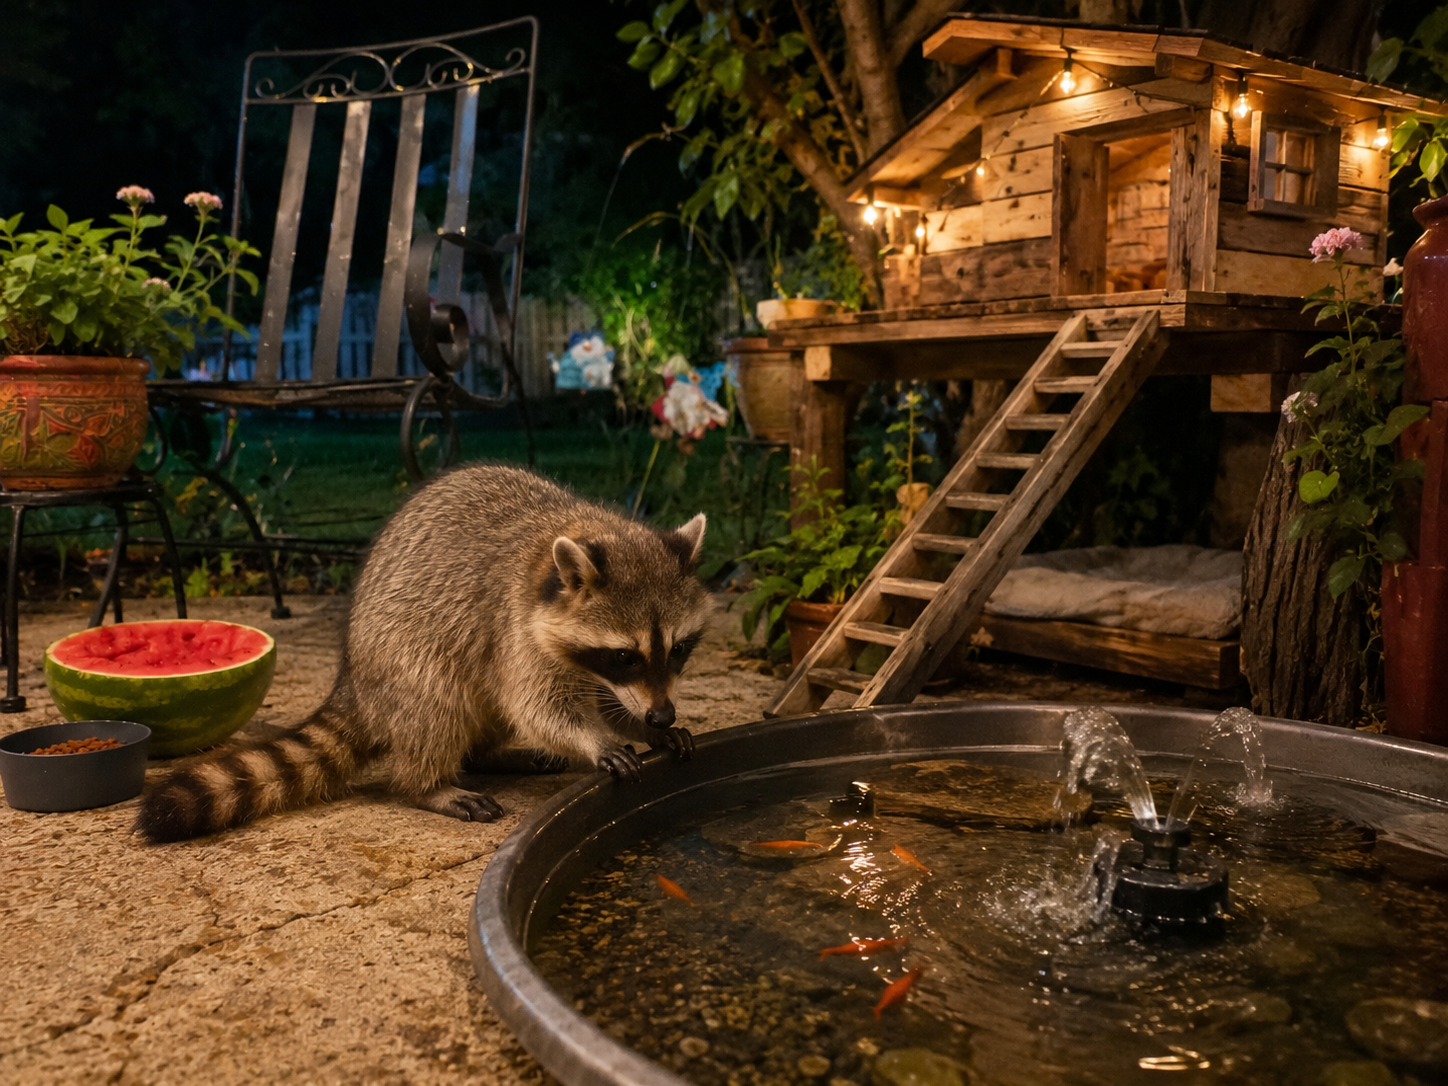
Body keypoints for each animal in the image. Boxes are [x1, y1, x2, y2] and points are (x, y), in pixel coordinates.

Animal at [136, 464, 713, 843]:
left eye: (680, 648)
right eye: (625, 657)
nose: (663, 714)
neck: (585, 527)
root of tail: (354, 679)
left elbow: (605, 702)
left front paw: (643, 727)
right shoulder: (515, 628)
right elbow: (538, 706)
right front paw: (595, 740)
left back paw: (486, 755)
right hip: (405, 659)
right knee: (438, 706)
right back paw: (427, 784)